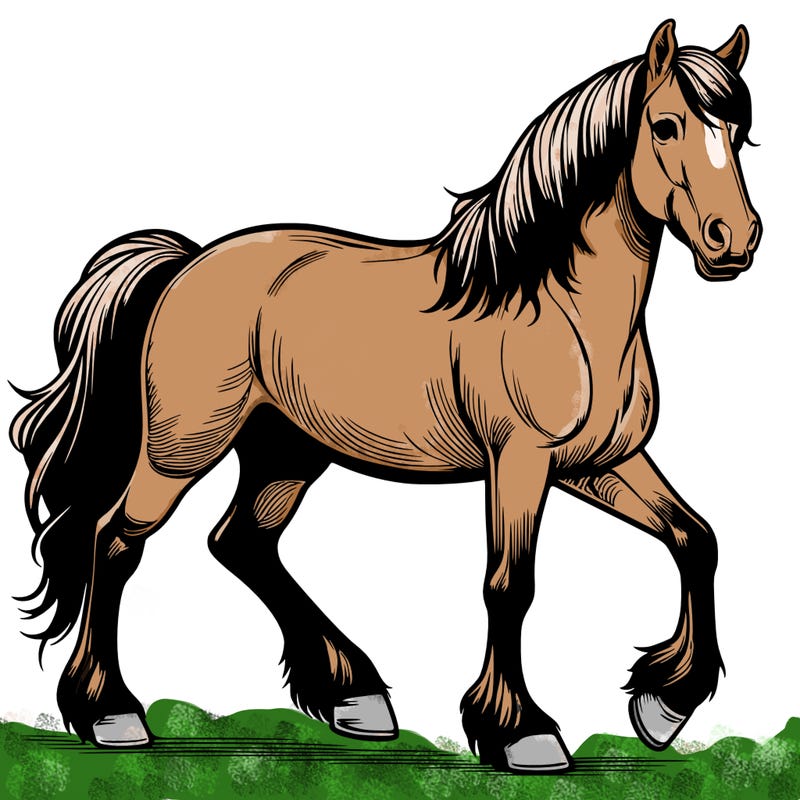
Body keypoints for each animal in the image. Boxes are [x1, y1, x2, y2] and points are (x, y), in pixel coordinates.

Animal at [10, 20, 760, 773]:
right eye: (665, 125)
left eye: (740, 131)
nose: (736, 240)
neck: (557, 307)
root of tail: (187, 263)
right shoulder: (520, 462)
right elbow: (509, 585)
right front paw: (521, 733)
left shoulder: (599, 463)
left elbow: (696, 538)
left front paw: (663, 705)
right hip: (181, 448)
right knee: (115, 540)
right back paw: (110, 714)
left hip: (286, 452)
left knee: (242, 542)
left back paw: (354, 696)